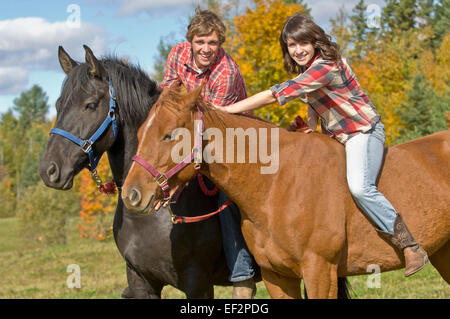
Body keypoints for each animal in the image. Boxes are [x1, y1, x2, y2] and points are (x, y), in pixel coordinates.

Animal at [121, 85, 450, 300]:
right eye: (139, 133)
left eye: (169, 134)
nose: (131, 194)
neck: (276, 185)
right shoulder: (277, 277)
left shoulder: (320, 272)